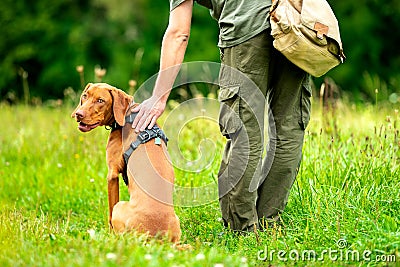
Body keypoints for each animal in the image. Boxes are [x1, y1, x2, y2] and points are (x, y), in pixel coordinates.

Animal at [72, 82, 181, 243]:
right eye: (85, 96)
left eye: (100, 100)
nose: (79, 114)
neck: (127, 116)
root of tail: (158, 240)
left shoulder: (112, 174)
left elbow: (110, 213)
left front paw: (108, 235)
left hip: (120, 207)